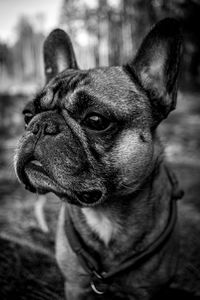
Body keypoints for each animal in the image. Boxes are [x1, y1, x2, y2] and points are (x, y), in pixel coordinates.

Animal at [14, 18, 200, 298]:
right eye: (27, 115)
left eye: (96, 120)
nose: (40, 125)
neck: (105, 214)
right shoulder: (75, 285)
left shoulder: (147, 291)